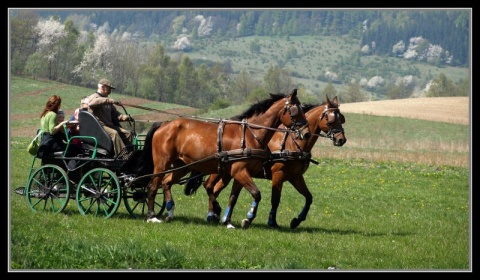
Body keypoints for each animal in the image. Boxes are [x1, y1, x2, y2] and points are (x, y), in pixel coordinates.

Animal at [139, 88, 312, 229]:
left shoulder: (240, 173)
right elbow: (257, 194)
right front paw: (247, 219)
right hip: (162, 163)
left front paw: (227, 221)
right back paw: (152, 216)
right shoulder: (240, 171)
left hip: (182, 166)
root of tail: (164, 124)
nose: (306, 133)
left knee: (166, 182)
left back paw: (170, 211)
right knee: (153, 186)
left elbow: (233, 198)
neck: (250, 135)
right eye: (295, 110)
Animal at [186, 95, 346, 229]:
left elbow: (309, 197)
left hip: (228, 174)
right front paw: (271, 221)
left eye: (342, 119)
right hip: (219, 170)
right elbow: (275, 199)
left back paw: (215, 215)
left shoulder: (296, 177)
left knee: (215, 189)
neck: (293, 143)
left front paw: (296, 220)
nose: (341, 140)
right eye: (331, 119)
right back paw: (212, 214)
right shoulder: (278, 174)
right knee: (209, 186)